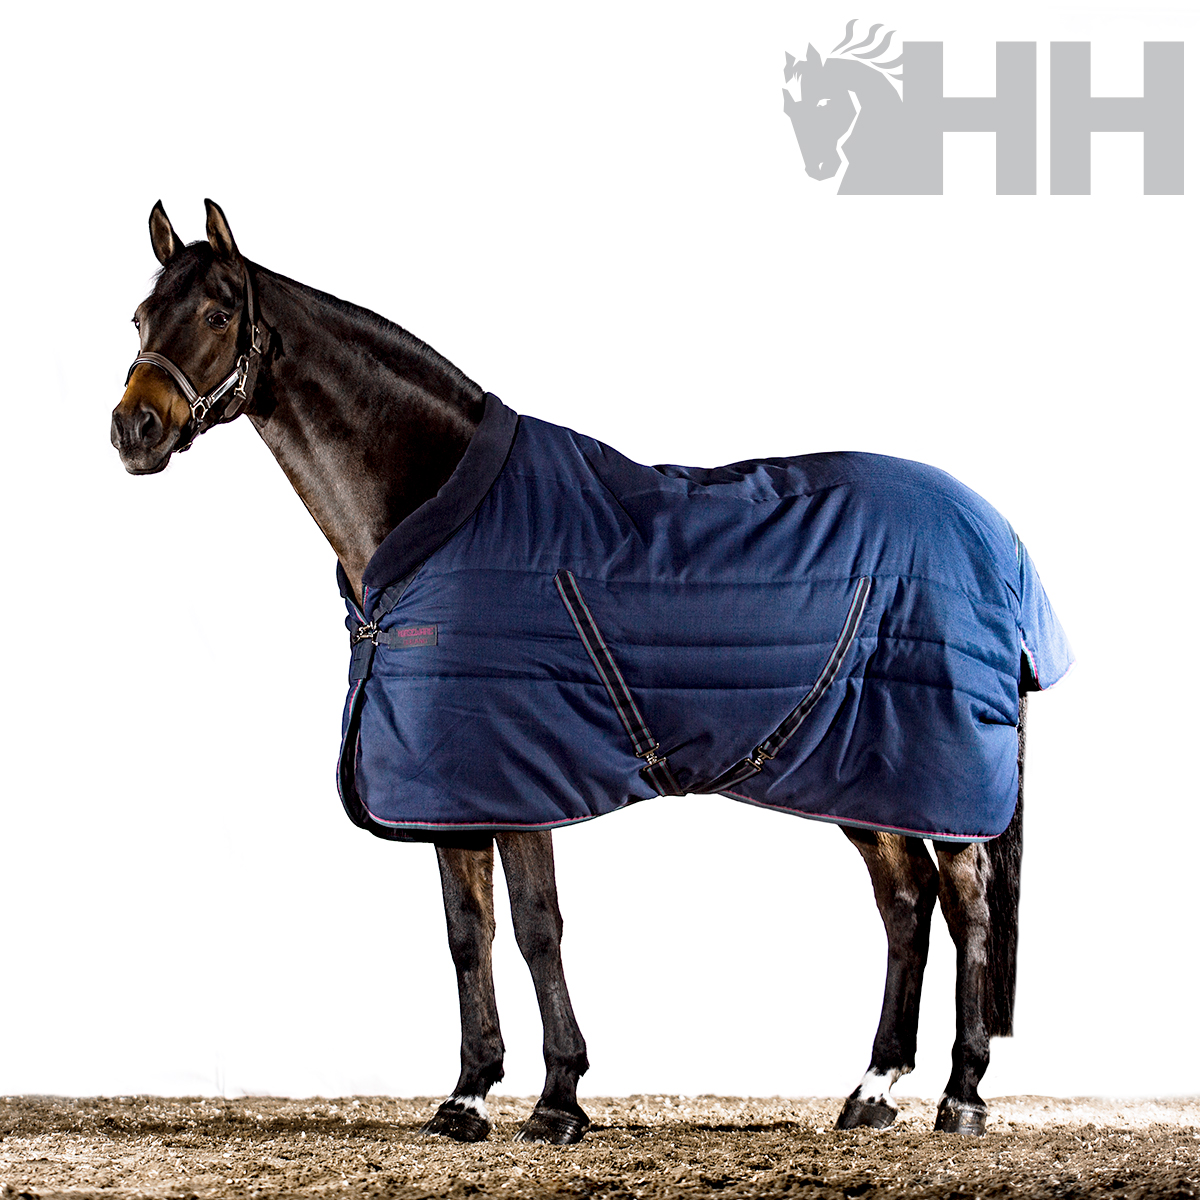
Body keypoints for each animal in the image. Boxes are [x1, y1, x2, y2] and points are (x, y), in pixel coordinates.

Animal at [111, 199, 1069, 1144]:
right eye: (139, 315)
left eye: (218, 313)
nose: (133, 429)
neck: (437, 516)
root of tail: (998, 534)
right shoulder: (454, 784)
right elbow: (468, 932)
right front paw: (467, 1097)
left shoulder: (518, 773)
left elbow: (538, 927)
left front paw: (557, 1099)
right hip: (860, 773)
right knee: (906, 903)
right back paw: (872, 1090)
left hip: (934, 770)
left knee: (969, 906)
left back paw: (962, 1096)